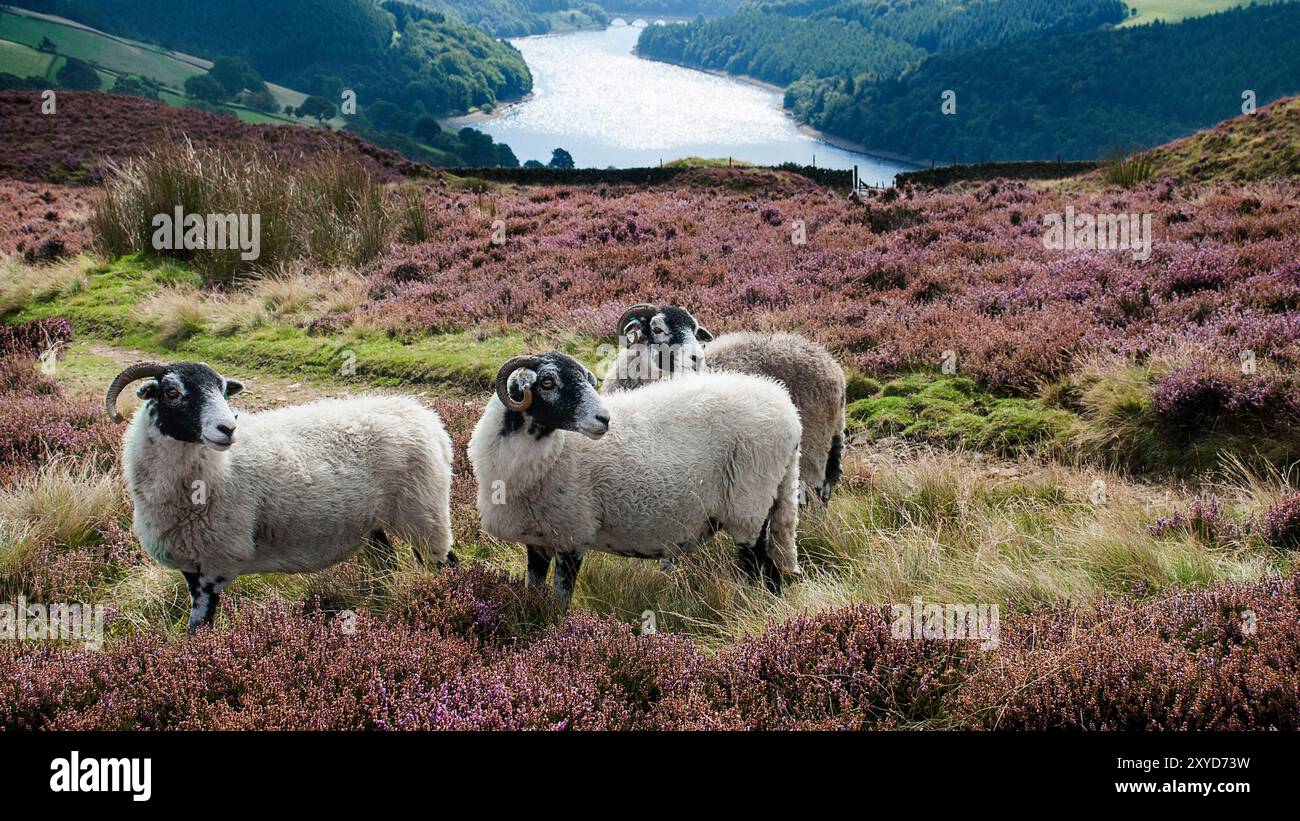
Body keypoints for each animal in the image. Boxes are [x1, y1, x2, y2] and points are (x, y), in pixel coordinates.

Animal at [105, 361, 455, 632]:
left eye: (223, 390)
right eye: (172, 392)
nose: (228, 428)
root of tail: (428, 420)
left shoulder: (217, 562)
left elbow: (200, 626)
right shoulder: (192, 563)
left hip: (422, 509)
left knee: (446, 563)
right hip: (377, 523)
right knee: (388, 566)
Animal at [469, 351, 802, 609]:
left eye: (588, 380)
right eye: (547, 382)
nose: (604, 419)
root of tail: (788, 412)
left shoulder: (572, 535)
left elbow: (560, 605)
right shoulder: (538, 542)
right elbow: (534, 593)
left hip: (750, 505)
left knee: (761, 571)